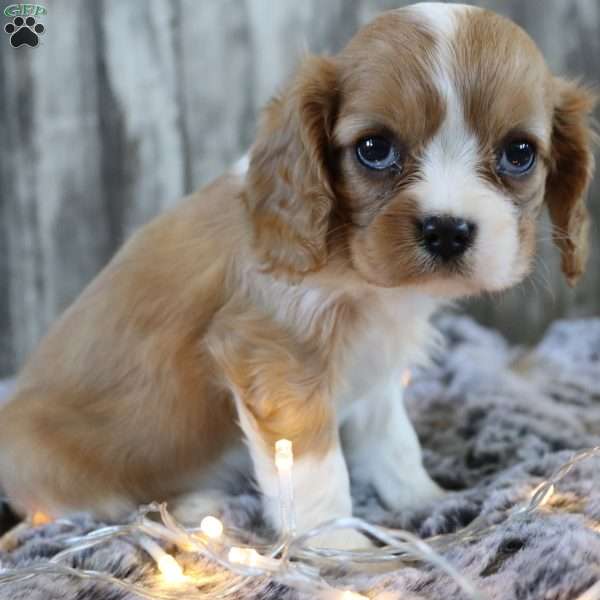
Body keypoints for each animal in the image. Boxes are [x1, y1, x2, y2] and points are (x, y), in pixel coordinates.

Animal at [0, 3, 596, 548]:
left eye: (518, 153)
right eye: (374, 148)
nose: (447, 229)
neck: (354, 266)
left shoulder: (377, 357)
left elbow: (393, 437)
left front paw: (425, 499)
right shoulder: (272, 355)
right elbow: (313, 467)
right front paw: (343, 548)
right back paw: (195, 506)